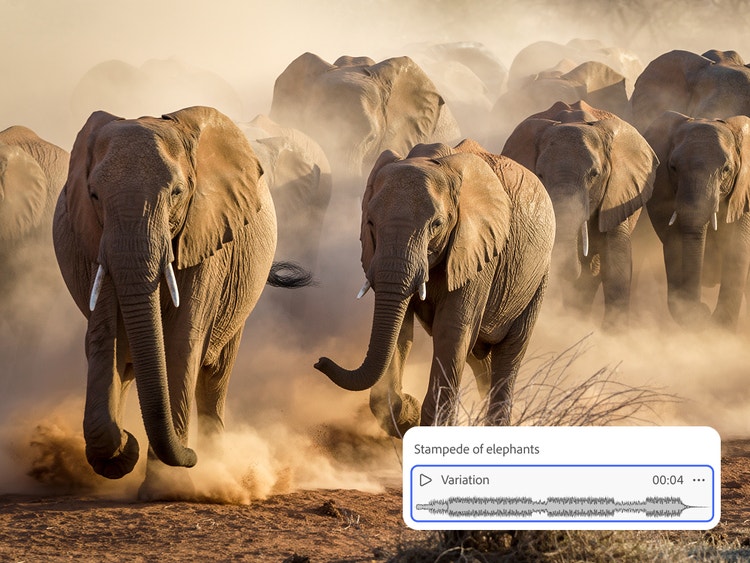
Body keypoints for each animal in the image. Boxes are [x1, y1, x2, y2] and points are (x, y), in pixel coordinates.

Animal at [52, 106, 312, 498]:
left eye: (176, 192)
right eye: (94, 195)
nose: (191, 456)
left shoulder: (207, 238)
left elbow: (181, 343)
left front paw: (166, 490)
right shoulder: (95, 244)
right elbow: (105, 339)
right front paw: (123, 449)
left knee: (216, 373)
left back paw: (218, 458)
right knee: (127, 364)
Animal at [314, 139, 555, 434]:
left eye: (437, 224)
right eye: (370, 222)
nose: (319, 361)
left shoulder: (479, 251)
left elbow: (451, 332)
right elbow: (401, 329)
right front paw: (409, 414)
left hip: (538, 279)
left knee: (509, 353)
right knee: (480, 358)